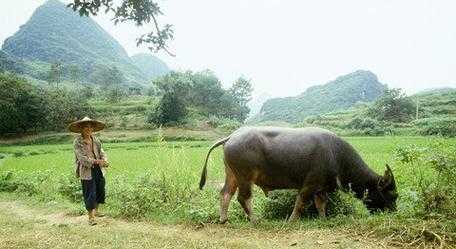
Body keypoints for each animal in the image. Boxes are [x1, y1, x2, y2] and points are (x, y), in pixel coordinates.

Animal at [198, 127, 398, 223]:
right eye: (393, 194)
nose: (394, 212)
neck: (336, 155)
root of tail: (232, 137)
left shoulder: (320, 187)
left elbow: (321, 204)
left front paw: (323, 219)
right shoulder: (309, 185)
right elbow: (301, 203)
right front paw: (292, 220)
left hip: (232, 174)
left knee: (225, 194)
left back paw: (223, 219)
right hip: (245, 177)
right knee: (243, 198)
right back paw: (254, 220)